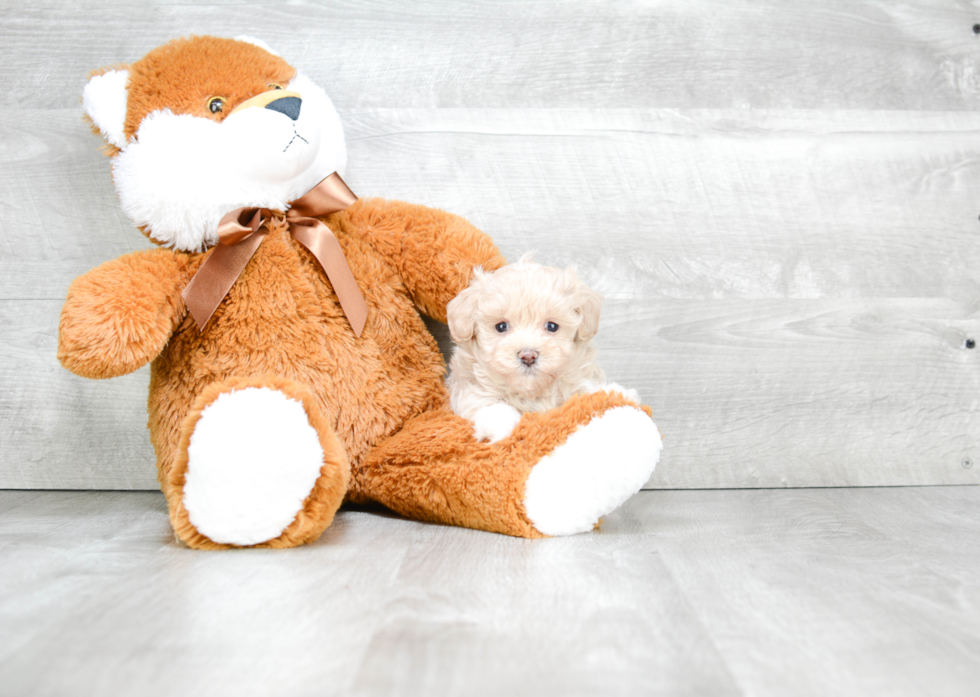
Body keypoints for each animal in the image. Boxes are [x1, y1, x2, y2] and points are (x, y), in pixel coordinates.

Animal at [448, 256, 640, 440]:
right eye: (501, 327)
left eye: (552, 326)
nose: (528, 356)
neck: (532, 392)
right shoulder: (470, 389)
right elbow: (485, 403)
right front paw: (500, 425)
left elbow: (586, 393)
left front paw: (617, 394)